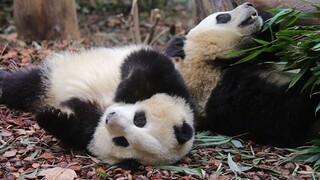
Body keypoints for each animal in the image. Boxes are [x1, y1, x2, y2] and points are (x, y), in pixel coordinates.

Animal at [0, 44, 195, 165]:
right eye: (140, 120)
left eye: (122, 141)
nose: (110, 118)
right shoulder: (177, 90)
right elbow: (149, 63)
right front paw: (126, 92)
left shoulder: (88, 130)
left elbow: (75, 127)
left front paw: (52, 116)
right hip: (52, 78)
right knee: (22, 85)